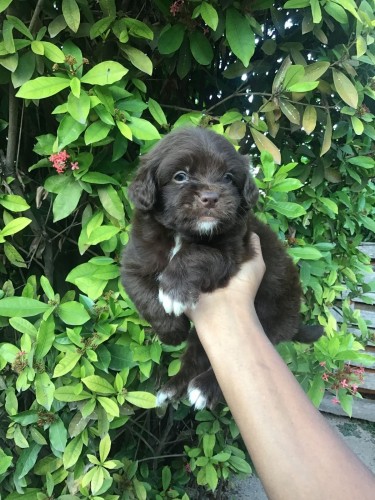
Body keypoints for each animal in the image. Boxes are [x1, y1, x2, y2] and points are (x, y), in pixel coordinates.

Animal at [122, 127, 324, 408]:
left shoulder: (231, 252)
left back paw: (204, 389)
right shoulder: (134, 262)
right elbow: (144, 296)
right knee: (195, 357)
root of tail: (295, 318)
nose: (210, 197)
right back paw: (172, 389)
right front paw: (172, 331)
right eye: (180, 176)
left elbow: (197, 253)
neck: (181, 234)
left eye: (228, 177)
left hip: (269, 319)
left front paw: (174, 291)